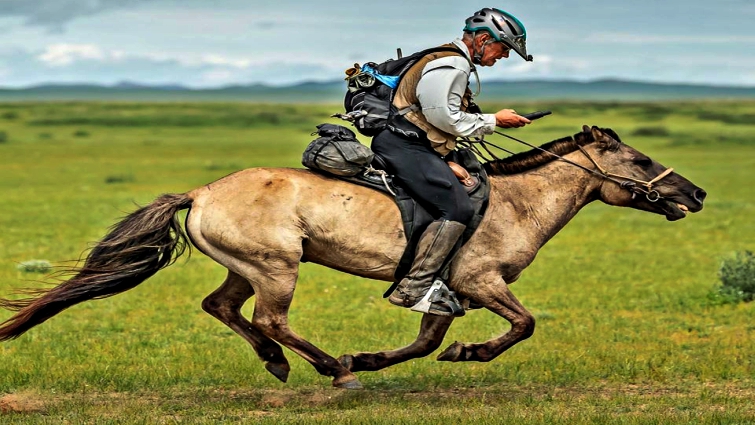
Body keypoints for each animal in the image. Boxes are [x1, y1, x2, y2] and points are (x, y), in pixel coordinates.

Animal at [1, 125, 708, 388]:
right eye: (639, 160)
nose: (695, 193)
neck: (514, 203)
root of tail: (200, 192)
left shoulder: (444, 289)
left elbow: (425, 342)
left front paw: (386, 357)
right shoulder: (480, 281)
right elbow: (523, 325)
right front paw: (470, 353)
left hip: (246, 268)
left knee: (223, 308)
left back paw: (282, 365)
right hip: (277, 269)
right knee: (269, 318)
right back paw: (328, 367)